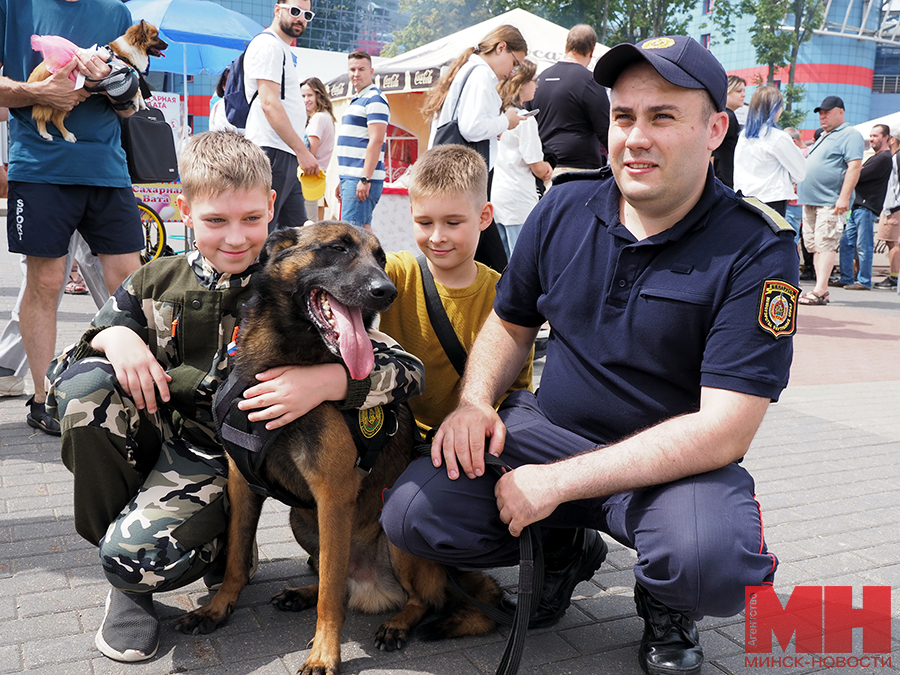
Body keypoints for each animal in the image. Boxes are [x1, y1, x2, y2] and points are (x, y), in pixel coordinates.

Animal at [29, 20, 169, 141]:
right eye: (156, 37)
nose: (167, 44)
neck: (122, 55)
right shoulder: (122, 74)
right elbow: (137, 89)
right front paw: (137, 100)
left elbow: (137, 88)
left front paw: (140, 102)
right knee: (51, 117)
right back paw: (59, 134)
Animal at [176, 226, 500, 675]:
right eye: (338, 248)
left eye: (381, 259)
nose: (386, 292)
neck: (287, 359)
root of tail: (372, 588)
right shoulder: (243, 485)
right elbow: (237, 559)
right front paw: (218, 609)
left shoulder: (332, 494)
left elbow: (331, 596)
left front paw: (324, 653)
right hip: (301, 520)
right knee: (337, 578)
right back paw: (303, 592)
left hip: (393, 536)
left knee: (416, 597)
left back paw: (397, 623)